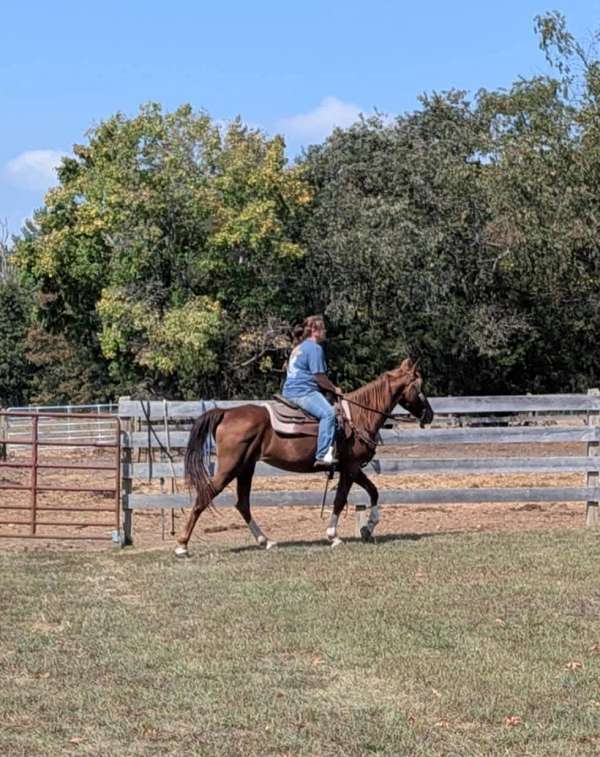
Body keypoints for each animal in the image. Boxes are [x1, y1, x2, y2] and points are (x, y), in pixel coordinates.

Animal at [175, 357, 434, 556]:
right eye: (419, 385)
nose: (430, 415)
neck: (359, 416)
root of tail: (226, 412)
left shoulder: (350, 468)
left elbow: (373, 491)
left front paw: (368, 528)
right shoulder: (350, 468)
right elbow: (341, 499)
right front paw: (334, 536)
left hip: (246, 468)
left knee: (243, 503)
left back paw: (265, 541)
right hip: (230, 467)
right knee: (205, 496)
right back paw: (182, 546)